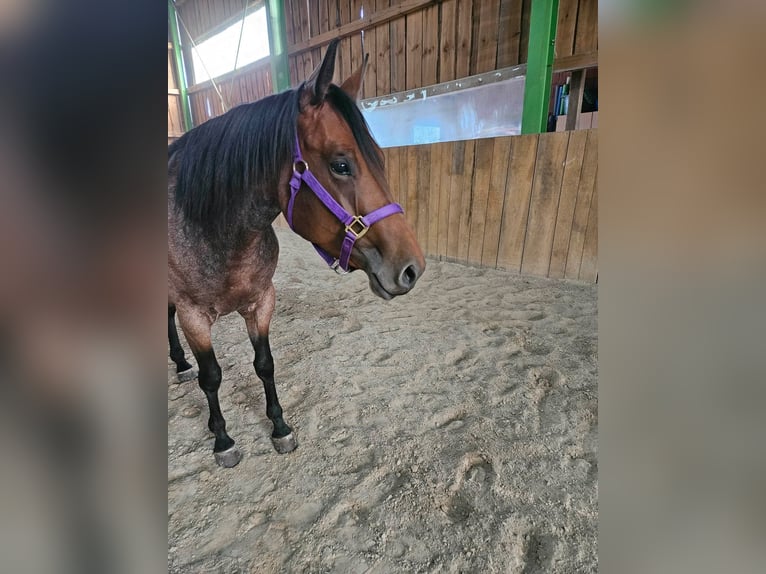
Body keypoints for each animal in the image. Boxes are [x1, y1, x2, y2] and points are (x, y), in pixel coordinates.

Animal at [168, 39, 425, 468]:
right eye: (341, 165)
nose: (411, 269)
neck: (212, 229)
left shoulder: (261, 302)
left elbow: (265, 365)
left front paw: (279, 426)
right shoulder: (194, 317)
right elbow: (212, 376)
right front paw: (222, 439)